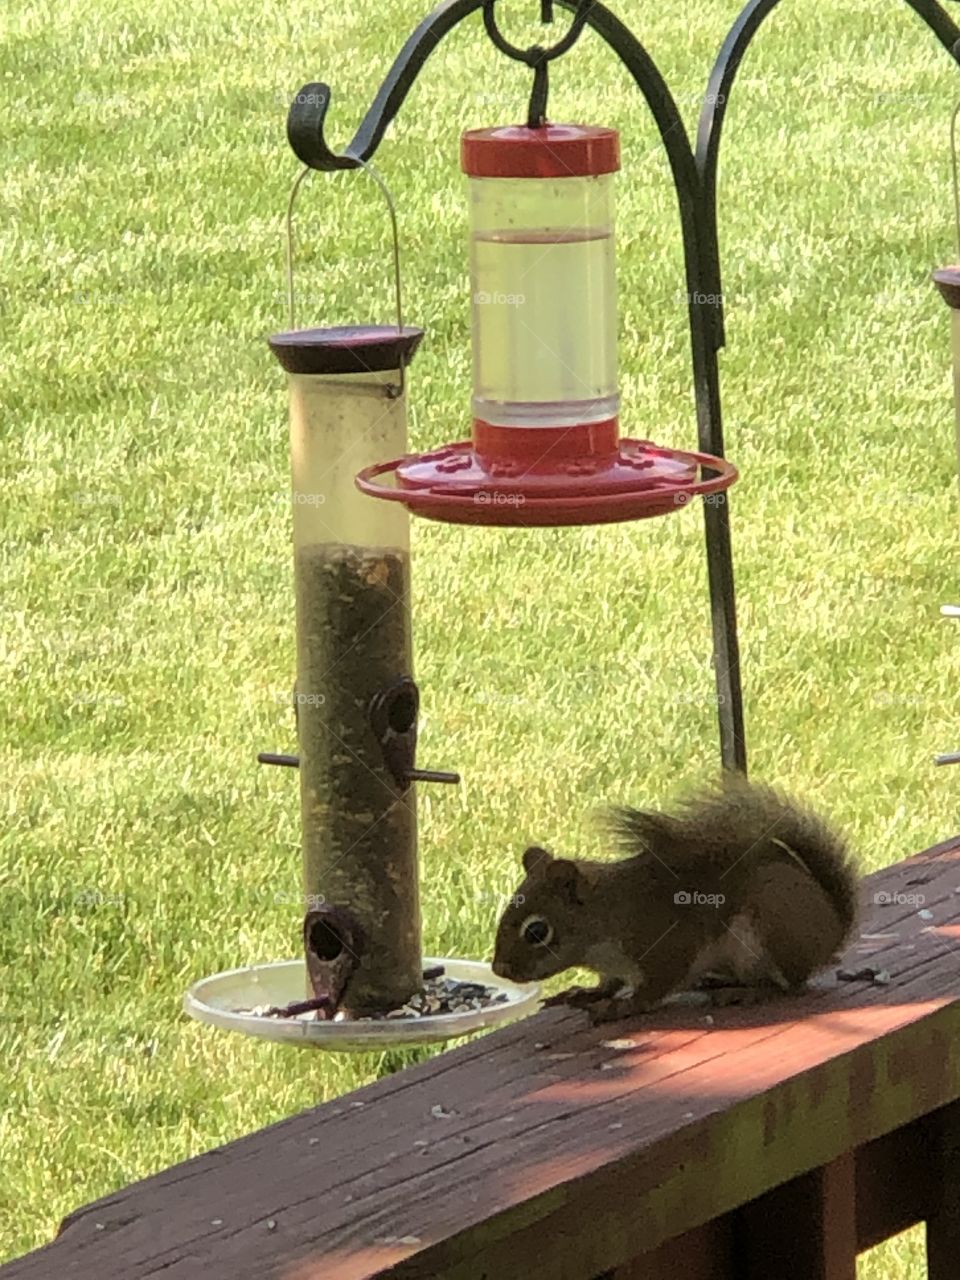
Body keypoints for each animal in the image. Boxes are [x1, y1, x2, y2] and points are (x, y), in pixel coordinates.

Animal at [491, 773, 860, 1024]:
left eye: (537, 931)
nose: (499, 969)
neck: (607, 914)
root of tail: (833, 930)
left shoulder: (664, 945)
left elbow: (656, 986)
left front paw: (622, 1006)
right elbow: (609, 983)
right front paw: (589, 992)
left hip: (772, 930)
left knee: (788, 984)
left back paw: (746, 991)